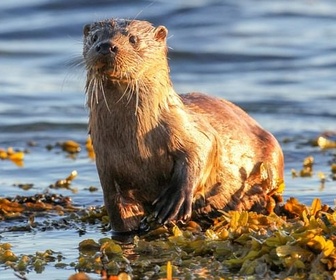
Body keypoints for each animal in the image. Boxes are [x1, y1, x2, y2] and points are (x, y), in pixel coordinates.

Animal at [81, 18, 284, 234]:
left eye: (133, 39)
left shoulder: (192, 130)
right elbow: (120, 216)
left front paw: (174, 200)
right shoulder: (107, 169)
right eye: (94, 37)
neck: (135, 144)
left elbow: (203, 151)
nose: (106, 46)